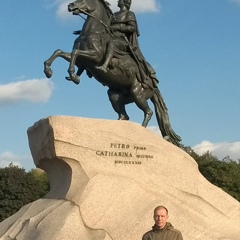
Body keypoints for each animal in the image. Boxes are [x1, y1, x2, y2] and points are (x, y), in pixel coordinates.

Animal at [43, 0, 182, 146]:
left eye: (84, 0)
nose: (70, 6)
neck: (92, 33)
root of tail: (154, 86)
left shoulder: (94, 57)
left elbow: (75, 53)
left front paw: (74, 75)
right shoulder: (81, 60)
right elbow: (59, 52)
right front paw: (48, 70)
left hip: (137, 94)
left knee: (148, 112)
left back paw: (142, 133)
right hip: (115, 96)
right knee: (124, 115)